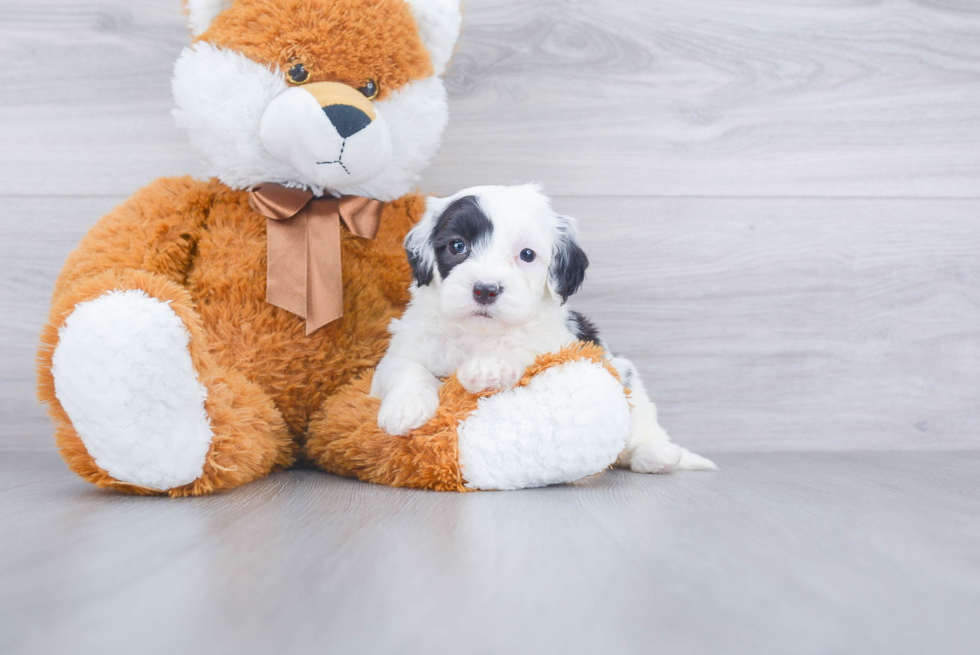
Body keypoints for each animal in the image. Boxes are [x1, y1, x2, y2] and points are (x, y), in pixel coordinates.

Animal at [372, 182, 716, 474]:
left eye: (527, 255)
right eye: (457, 246)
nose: (485, 289)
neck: (478, 333)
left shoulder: (559, 344)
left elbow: (527, 349)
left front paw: (489, 367)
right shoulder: (400, 350)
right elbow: (405, 368)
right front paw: (405, 408)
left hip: (628, 381)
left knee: (637, 434)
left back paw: (656, 455)